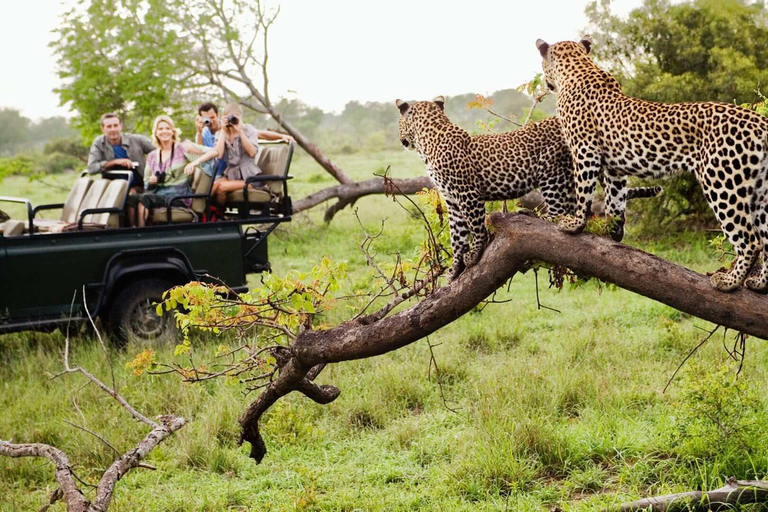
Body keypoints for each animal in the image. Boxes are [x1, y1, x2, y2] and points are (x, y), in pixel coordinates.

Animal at [396, 95, 660, 280]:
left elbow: (476, 227)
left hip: (551, 173)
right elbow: (457, 236)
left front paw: (475, 253)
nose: (401, 139)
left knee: (559, 211)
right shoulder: (451, 201)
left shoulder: (467, 194)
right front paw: (455, 268)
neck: (428, 141)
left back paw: (536, 216)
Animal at [536, 36, 768, 292]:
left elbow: (584, 192)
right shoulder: (615, 168)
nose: (546, 83)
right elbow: (615, 200)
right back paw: (760, 283)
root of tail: (760, 122)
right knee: (766, 240)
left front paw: (575, 224)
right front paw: (614, 231)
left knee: (750, 240)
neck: (578, 67)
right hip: (761, 190)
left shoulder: (585, 150)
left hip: (722, 183)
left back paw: (730, 281)